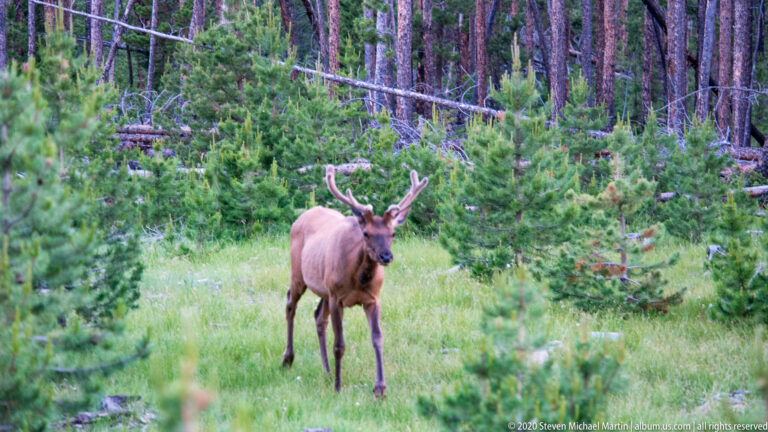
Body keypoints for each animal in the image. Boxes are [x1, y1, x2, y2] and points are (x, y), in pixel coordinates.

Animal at [281, 165, 428, 398]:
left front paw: (380, 389)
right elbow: (339, 344)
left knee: (318, 316)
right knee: (290, 304)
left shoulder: (372, 299)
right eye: (366, 233)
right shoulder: (337, 298)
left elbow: (377, 338)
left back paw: (326, 371)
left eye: (392, 233)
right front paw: (338, 387)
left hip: (324, 289)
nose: (386, 256)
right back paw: (288, 359)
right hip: (299, 274)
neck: (358, 279)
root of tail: (301, 216)